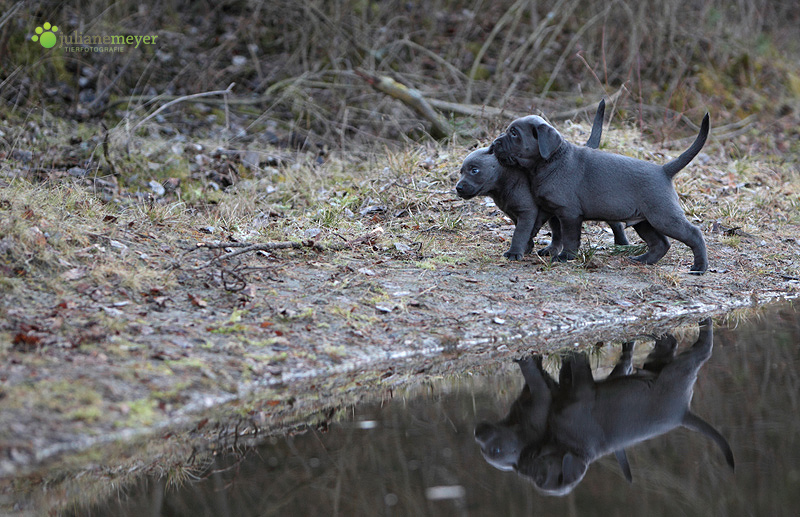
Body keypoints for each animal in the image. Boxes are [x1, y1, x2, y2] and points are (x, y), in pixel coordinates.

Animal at [456, 100, 632, 260]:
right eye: (461, 172)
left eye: (474, 170)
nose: (458, 188)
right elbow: (526, 232)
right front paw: (527, 247)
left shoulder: (528, 212)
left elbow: (519, 233)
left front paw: (514, 252)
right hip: (555, 213)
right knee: (558, 234)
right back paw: (551, 250)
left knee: (615, 223)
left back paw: (622, 244)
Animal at [494, 112, 712, 274]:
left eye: (514, 134)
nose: (495, 143)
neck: (550, 162)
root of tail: (664, 170)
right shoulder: (550, 209)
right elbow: (544, 230)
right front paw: (533, 247)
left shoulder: (569, 213)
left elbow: (569, 238)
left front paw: (565, 257)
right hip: (643, 221)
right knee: (661, 244)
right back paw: (642, 260)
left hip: (663, 216)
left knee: (694, 233)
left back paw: (699, 267)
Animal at [516, 318, 736, 496]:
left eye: (540, 477)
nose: (517, 466)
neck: (573, 445)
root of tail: (683, 413)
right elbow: (566, 373)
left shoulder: (582, 388)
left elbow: (576, 363)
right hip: (658, 363)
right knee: (668, 343)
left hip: (680, 369)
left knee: (704, 348)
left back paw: (705, 322)